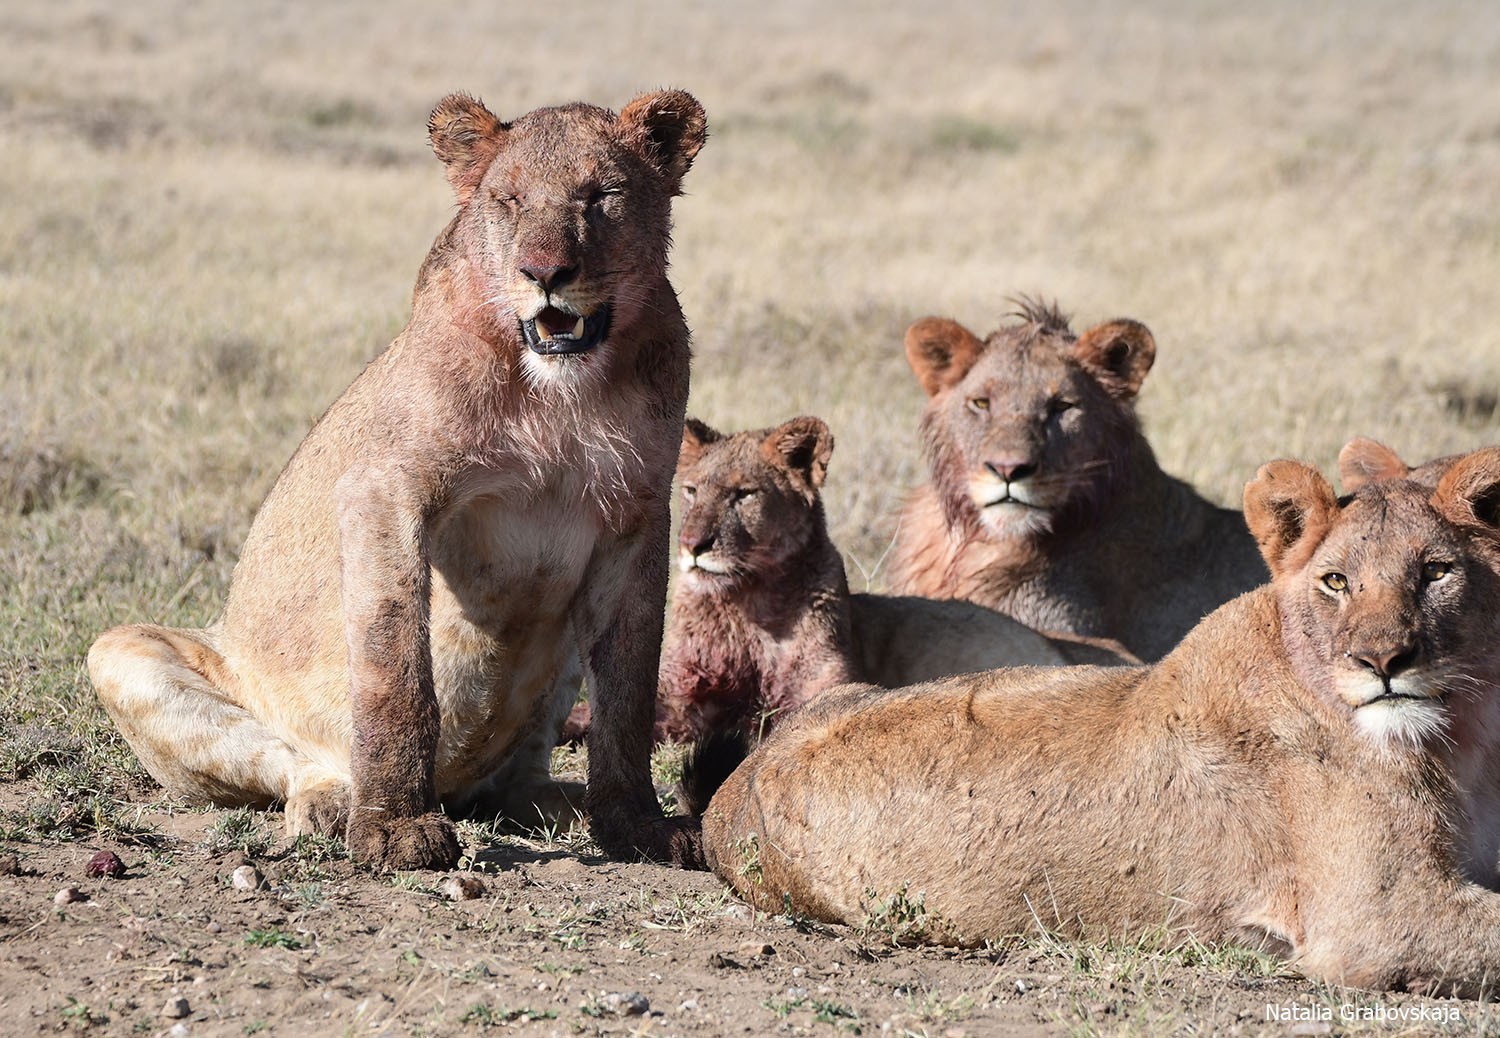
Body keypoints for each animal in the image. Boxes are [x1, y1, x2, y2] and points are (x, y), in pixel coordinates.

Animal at [87, 87, 708, 870]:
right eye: (507, 201)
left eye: (601, 196)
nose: (543, 273)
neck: (562, 398)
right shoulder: (385, 489)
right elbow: (395, 668)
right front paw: (393, 827)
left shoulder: (636, 515)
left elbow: (627, 690)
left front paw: (638, 826)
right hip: (123, 653)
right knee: (286, 759)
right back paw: (334, 803)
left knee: (517, 781)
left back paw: (567, 806)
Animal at [696, 447, 1500, 996]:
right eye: (1336, 581)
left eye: (1435, 571)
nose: (1384, 661)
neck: (1467, 735)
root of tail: (732, 785)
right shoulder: (1379, 919)